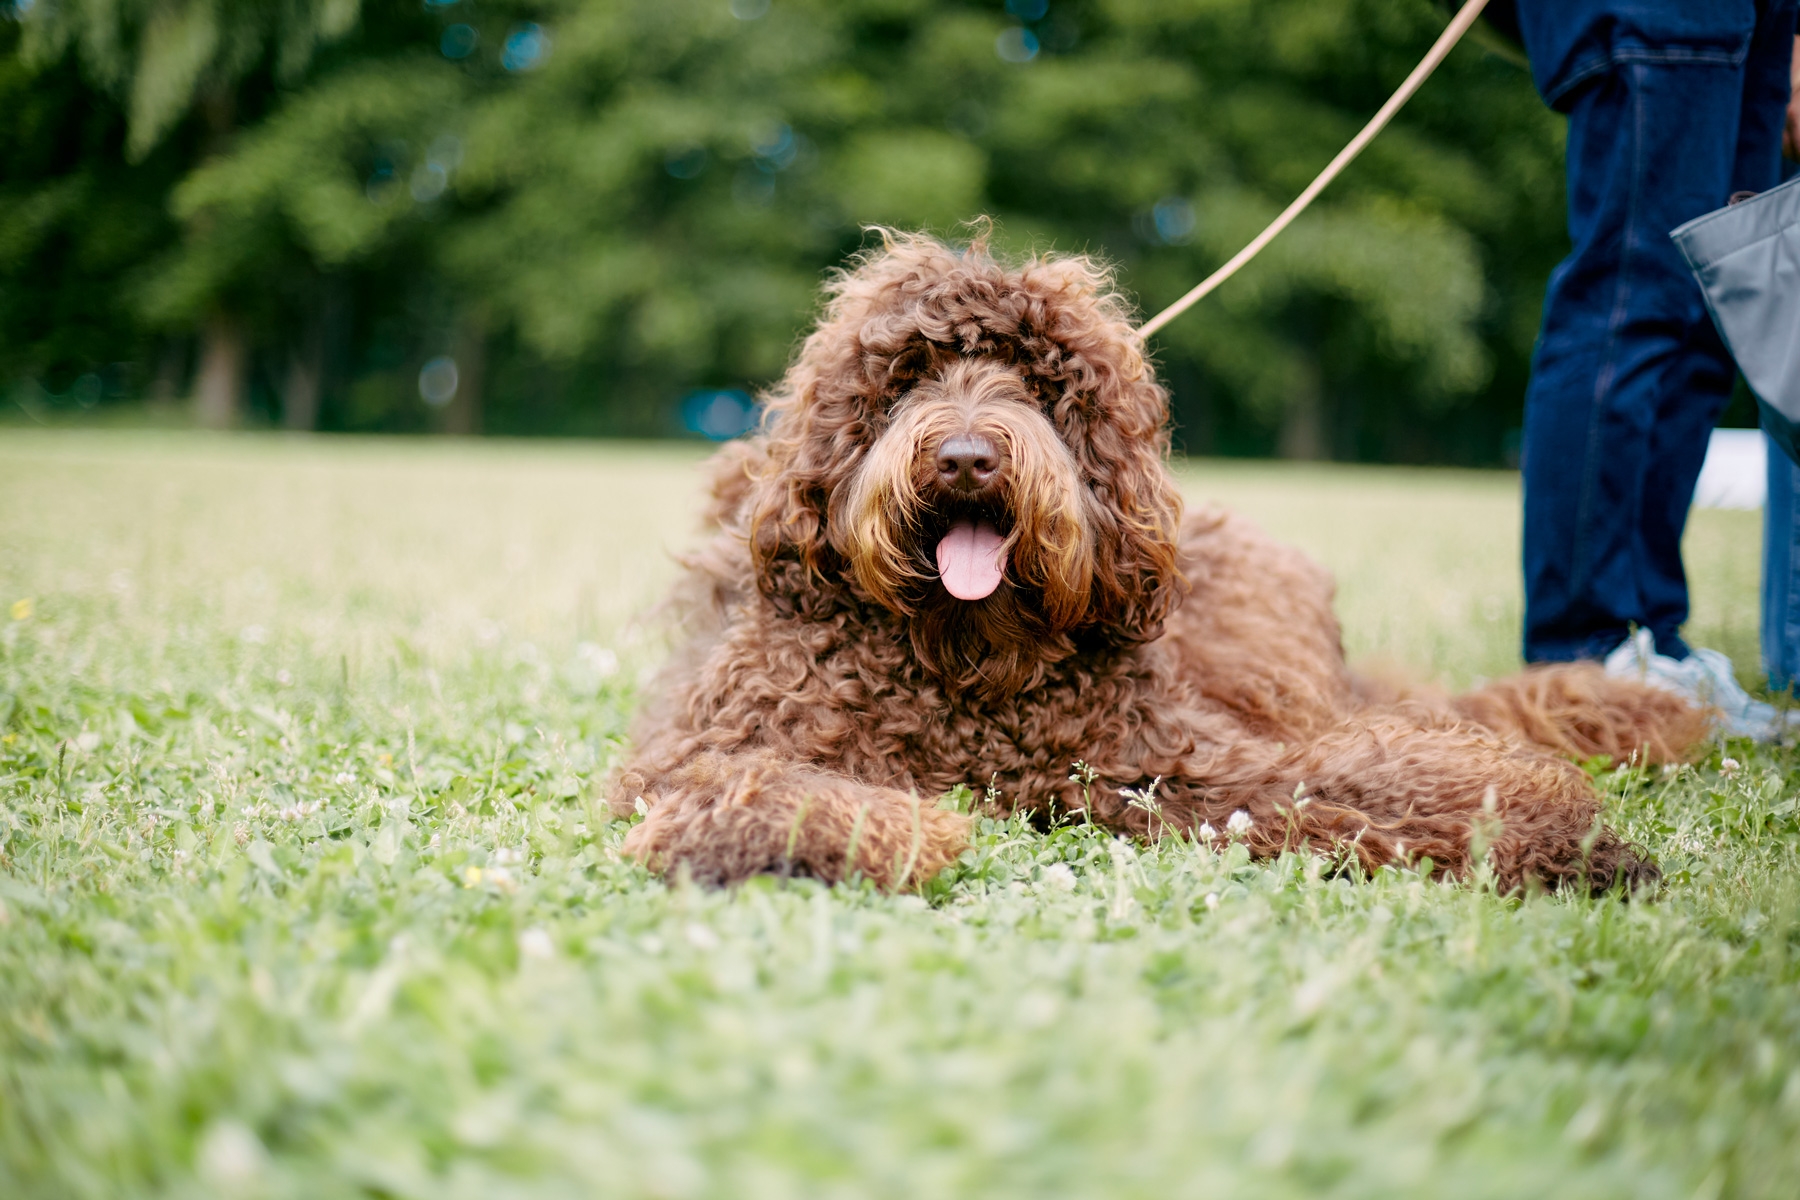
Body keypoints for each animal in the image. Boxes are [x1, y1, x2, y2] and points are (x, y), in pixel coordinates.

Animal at [612, 230, 1706, 895]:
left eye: (1035, 382)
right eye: (910, 373)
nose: (965, 458)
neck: (961, 663)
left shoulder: (1180, 760)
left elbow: (1358, 780)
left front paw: (1545, 831)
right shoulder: (702, 751)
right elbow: (769, 793)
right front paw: (884, 833)